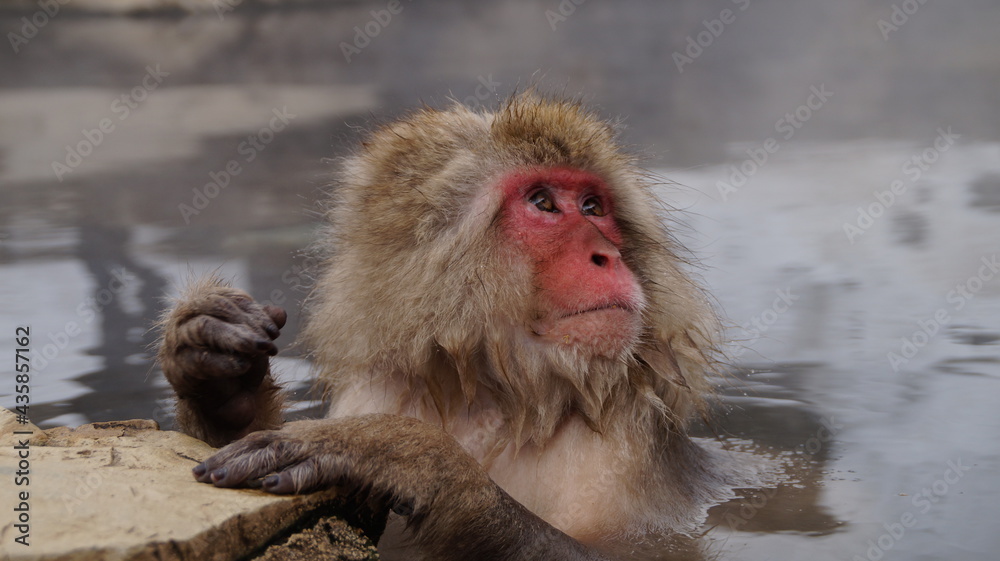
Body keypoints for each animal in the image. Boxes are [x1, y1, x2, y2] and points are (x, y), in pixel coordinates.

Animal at [158, 93, 742, 560]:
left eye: (594, 206)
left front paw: (411, 456)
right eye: (544, 203)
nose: (607, 255)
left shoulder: (622, 451)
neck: (492, 395)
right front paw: (216, 376)